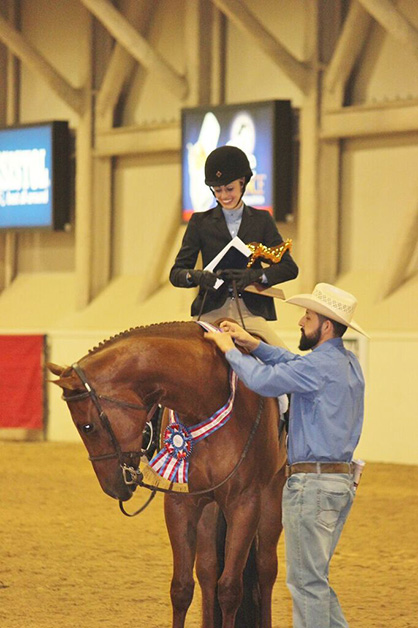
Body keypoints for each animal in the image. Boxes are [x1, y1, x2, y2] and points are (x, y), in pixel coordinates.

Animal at [47, 322, 286, 624]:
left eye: (87, 427)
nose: (112, 488)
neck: (209, 400)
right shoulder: (180, 503)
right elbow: (182, 589)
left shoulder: (244, 504)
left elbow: (231, 590)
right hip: (209, 507)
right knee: (207, 571)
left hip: (272, 497)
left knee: (266, 571)